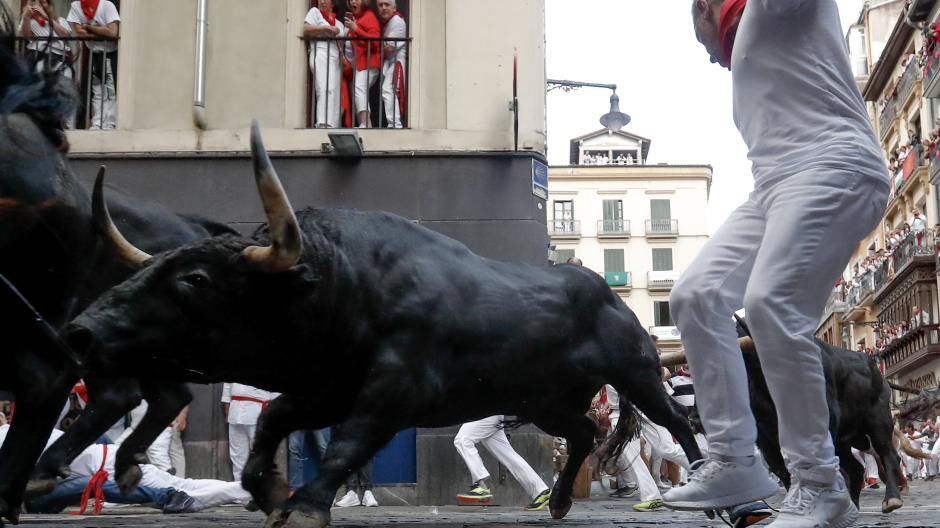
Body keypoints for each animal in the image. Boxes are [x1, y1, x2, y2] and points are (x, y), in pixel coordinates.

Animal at [64, 121, 696, 528]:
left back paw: (702, 478)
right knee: (584, 432)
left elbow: (349, 443)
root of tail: (606, 297)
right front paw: (268, 488)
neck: (346, 282)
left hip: (637, 373)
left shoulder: (395, 388)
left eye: (194, 278)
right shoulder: (325, 389)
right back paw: (561, 501)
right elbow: (274, 421)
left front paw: (305, 503)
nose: (82, 331)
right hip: (542, 399)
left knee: (676, 422)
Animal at [660, 332, 904, 512]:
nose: (694, 419)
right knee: (854, 468)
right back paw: (852, 505)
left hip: (878, 421)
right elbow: (783, 470)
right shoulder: (766, 438)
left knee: (889, 455)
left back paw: (891, 499)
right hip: (845, 441)